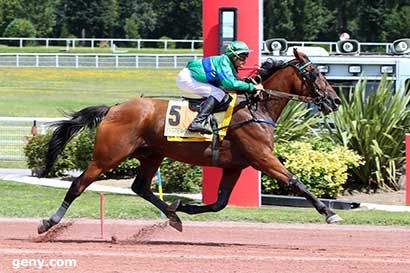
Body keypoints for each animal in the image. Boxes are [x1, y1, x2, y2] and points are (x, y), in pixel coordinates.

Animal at [38, 47, 342, 233]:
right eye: (315, 73)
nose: (336, 100)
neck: (257, 108)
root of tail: (113, 108)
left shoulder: (235, 165)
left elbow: (220, 203)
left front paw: (184, 205)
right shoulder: (263, 158)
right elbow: (296, 182)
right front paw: (329, 212)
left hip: (152, 155)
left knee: (140, 187)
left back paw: (173, 216)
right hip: (108, 155)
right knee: (78, 184)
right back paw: (49, 222)